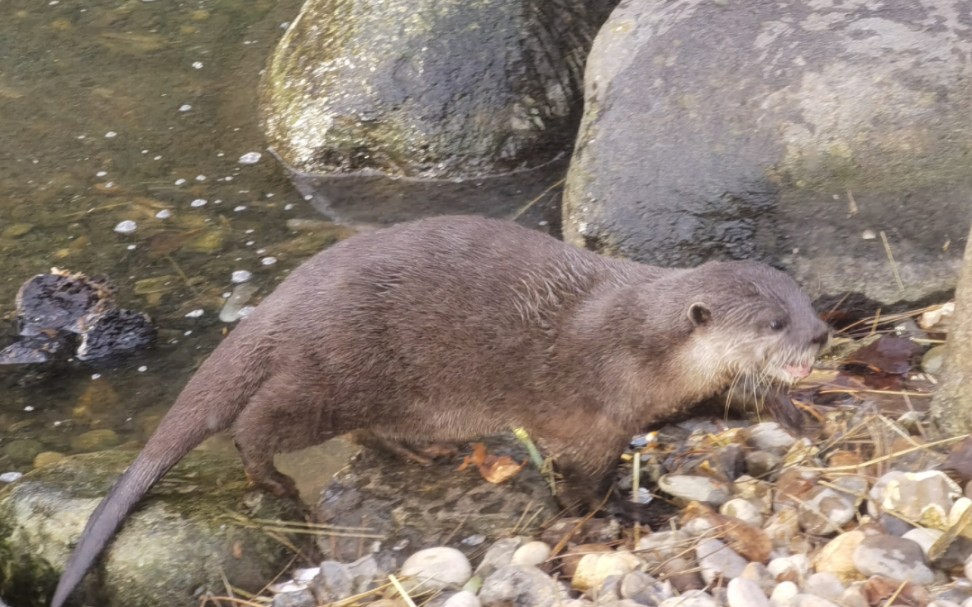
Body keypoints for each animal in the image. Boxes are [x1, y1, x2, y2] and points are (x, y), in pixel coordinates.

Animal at [49, 215, 828, 607]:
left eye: (806, 302)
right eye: (772, 321)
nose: (821, 335)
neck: (641, 345)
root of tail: (275, 308)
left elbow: (728, 398)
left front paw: (797, 411)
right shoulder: (591, 412)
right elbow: (583, 481)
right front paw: (633, 507)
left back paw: (420, 452)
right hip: (331, 372)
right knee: (256, 424)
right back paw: (273, 480)